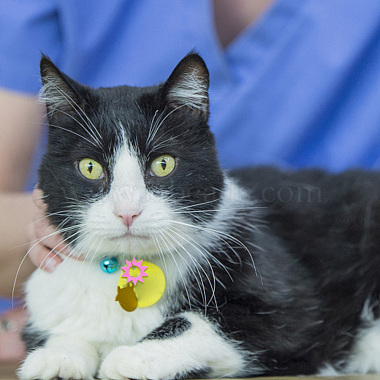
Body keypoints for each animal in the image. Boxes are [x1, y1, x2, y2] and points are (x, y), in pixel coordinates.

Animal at [19, 52, 380, 378]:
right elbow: (63, 331)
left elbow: (204, 320)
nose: (128, 212)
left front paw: (132, 357)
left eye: (163, 164)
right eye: (90, 168)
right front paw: (56, 356)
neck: (129, 269)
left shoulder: (289, 307)